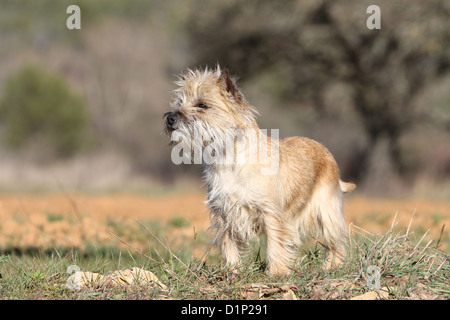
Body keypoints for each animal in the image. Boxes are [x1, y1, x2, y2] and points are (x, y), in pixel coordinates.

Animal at [163, 66, 356, 276]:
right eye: (179, 102)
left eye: (202, 105)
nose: (170, 118)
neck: (228, 159)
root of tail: (325, 150)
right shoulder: (224, 214)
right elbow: (229, 244)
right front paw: (233, 271)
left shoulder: (271, 212)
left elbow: (275, 242)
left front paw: (277, 273)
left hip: (327, 212)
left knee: (336, 242)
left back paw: (332, 266)